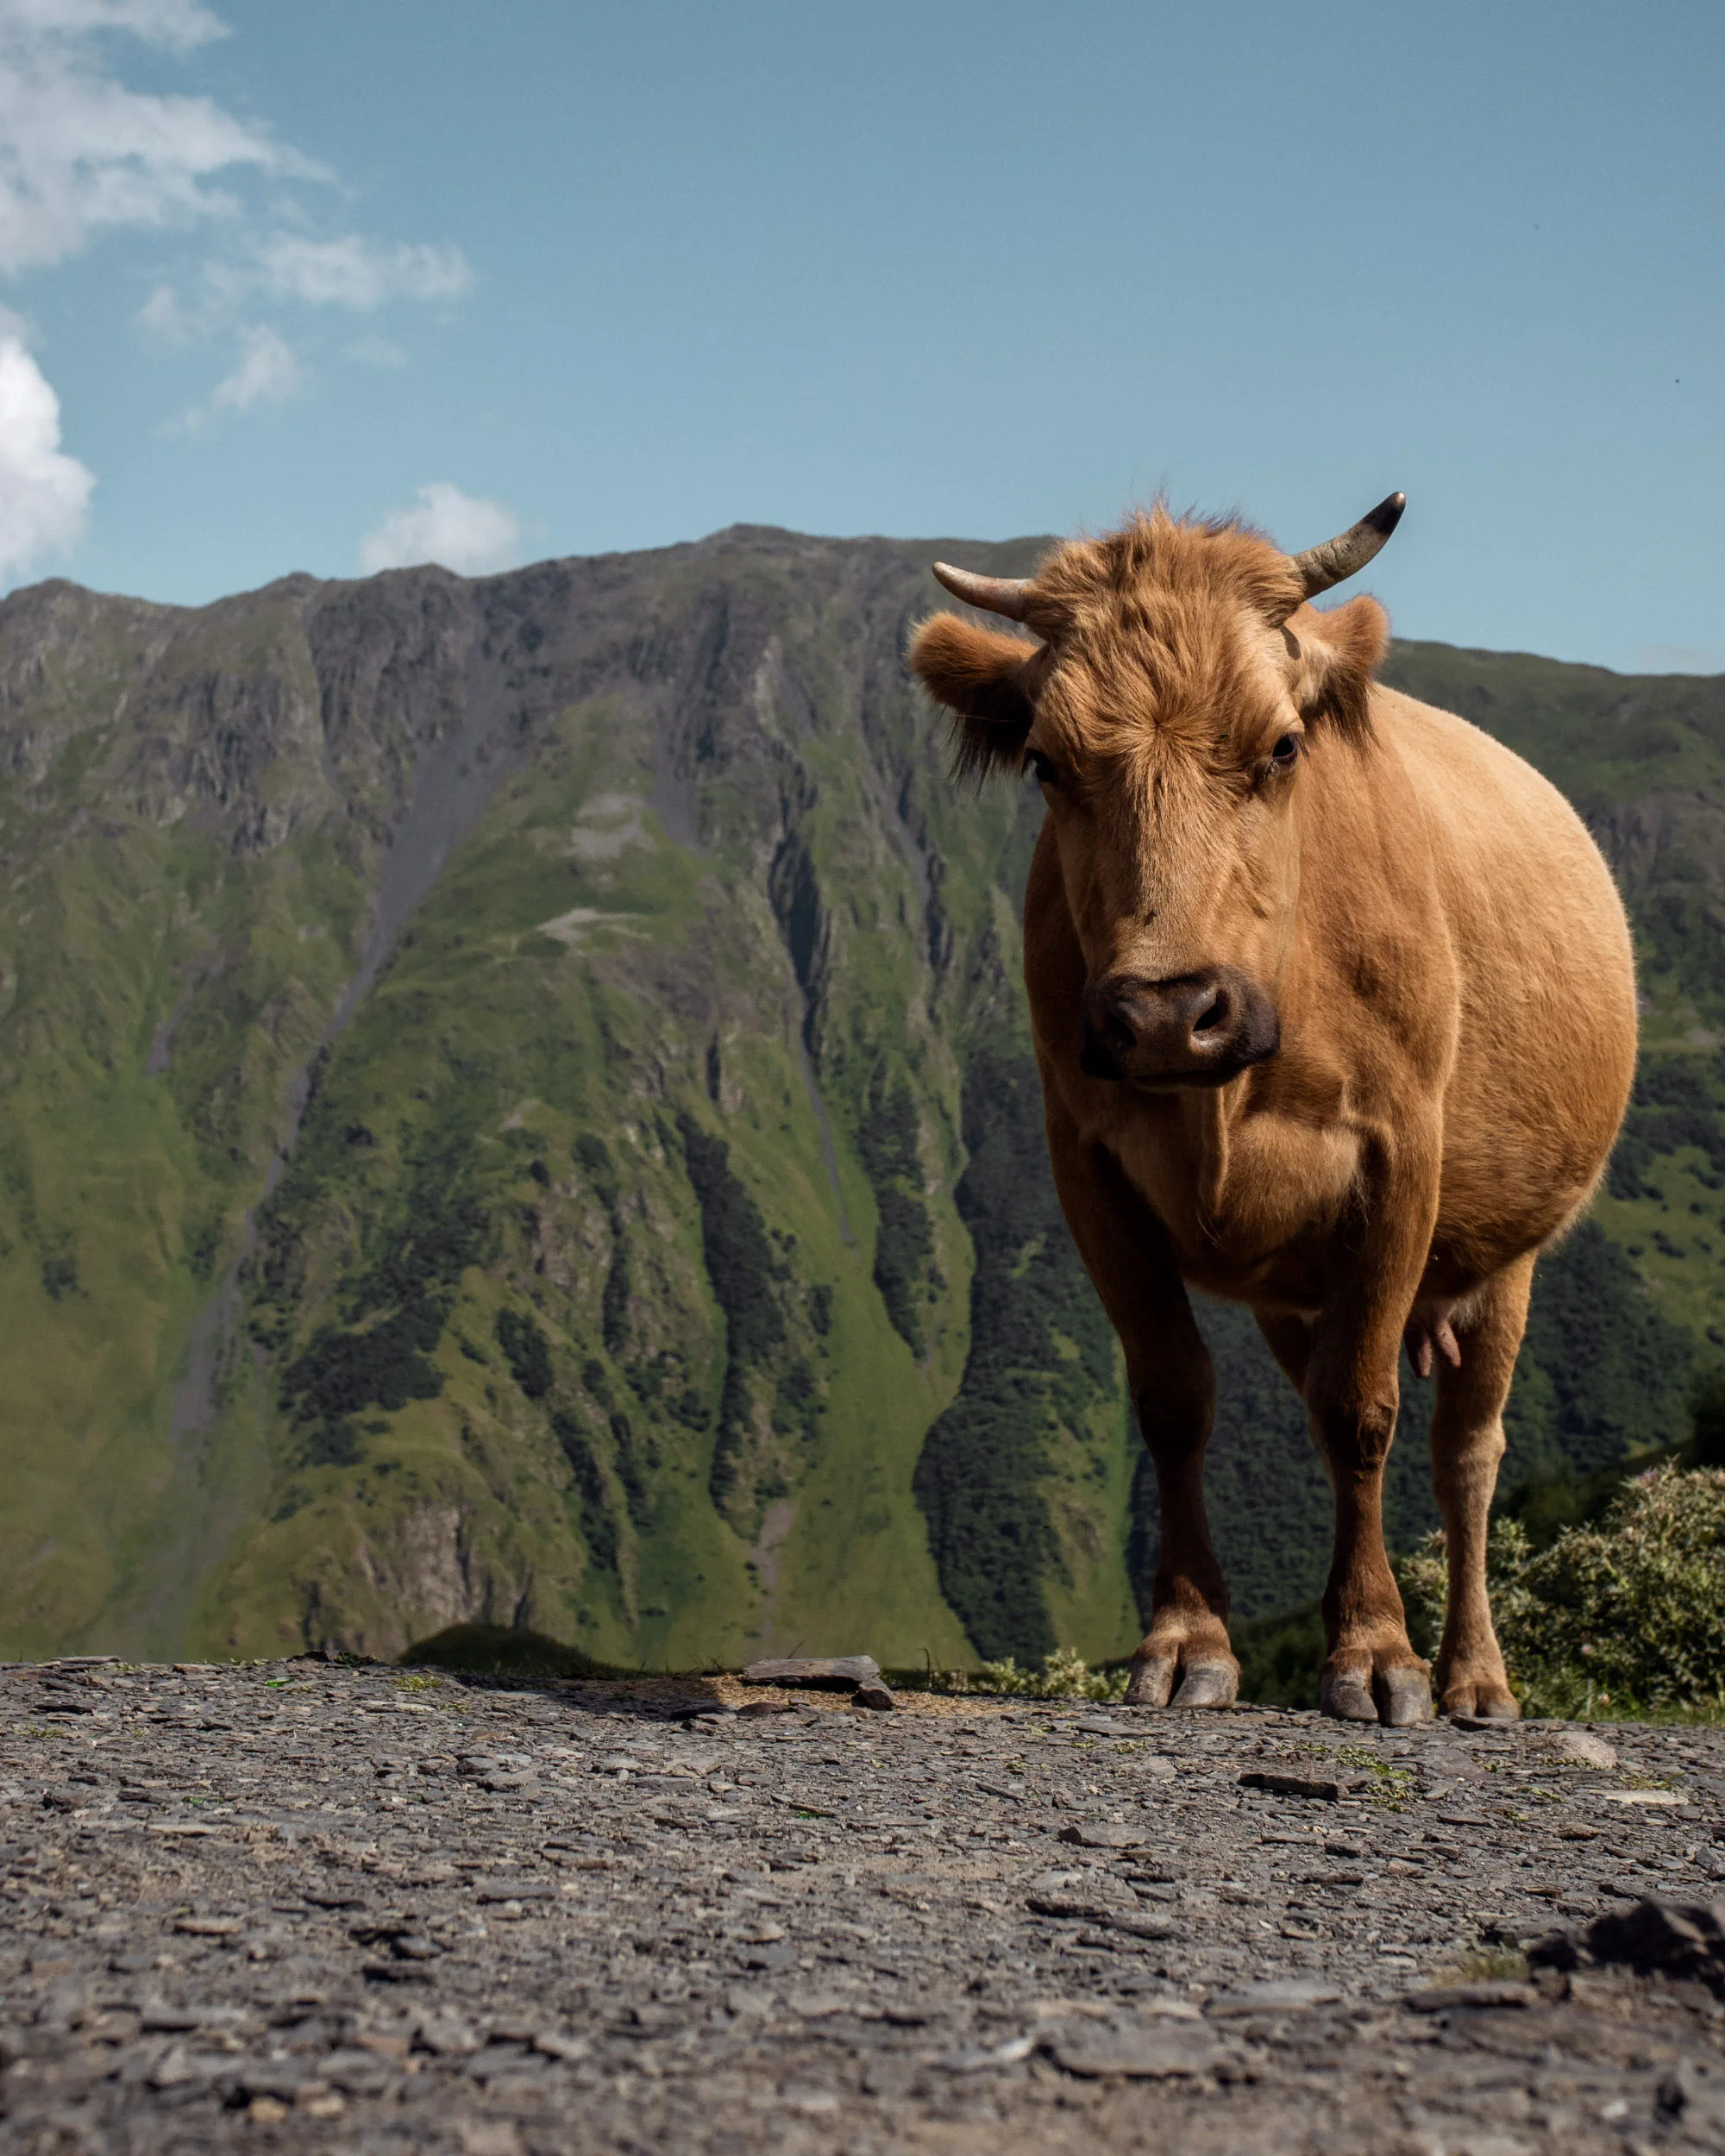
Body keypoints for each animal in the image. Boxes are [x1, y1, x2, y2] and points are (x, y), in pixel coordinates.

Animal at [908, 498, 1636, 1725]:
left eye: (1282, 748)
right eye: (1048, 763)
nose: (1165, 1014)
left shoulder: (1399, 1161)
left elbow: (1362, 1412)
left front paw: (1376, 1656)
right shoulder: (1086, 1169)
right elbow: (1174, 1398)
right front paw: (1188, 1640)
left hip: (1503, 1258)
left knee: (1465, 1449)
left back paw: (1473, 1675)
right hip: (1295, 1287)